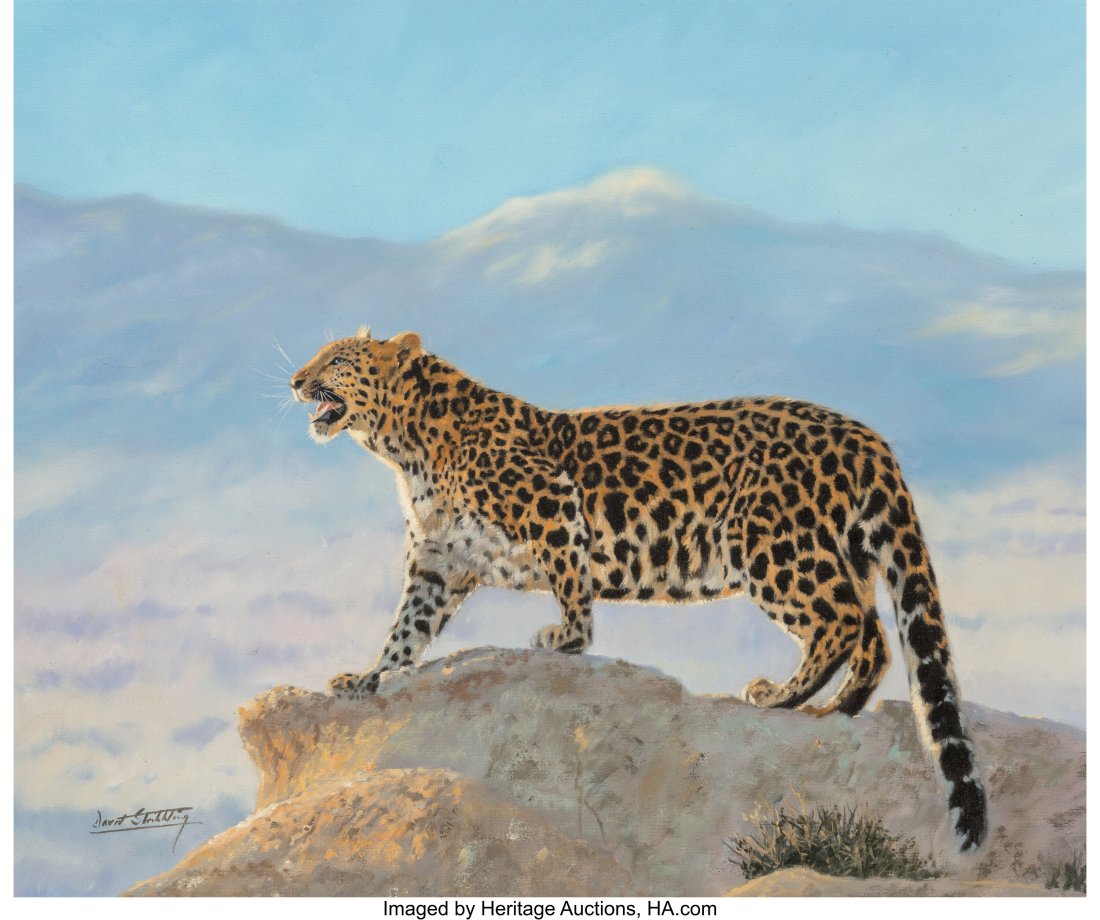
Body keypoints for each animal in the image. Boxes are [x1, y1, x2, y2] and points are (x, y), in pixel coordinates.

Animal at [289, 327, 987, 851]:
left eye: (337, 359)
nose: (295, 380)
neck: (405, 448)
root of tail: (865, 435)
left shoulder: (553, 504)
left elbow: (571, 579)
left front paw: (566, 640)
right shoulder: (437, 564)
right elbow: (405, 632)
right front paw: (366, 680)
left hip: (772, 545)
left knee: (840, 621)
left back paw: (781, 697)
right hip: (843, 551)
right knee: (874, 636)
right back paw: (835, 709)